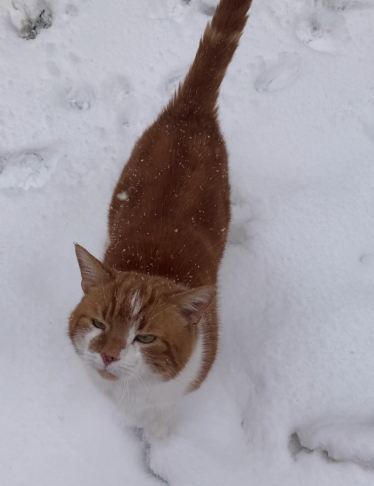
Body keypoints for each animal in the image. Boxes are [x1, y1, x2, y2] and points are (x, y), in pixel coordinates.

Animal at [68, 0, 253, 440]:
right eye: (98, 324)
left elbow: (164, 414)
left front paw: (157, 434)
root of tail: (190, 109)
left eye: (146, 337)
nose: (108, 356)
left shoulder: (188, 382)